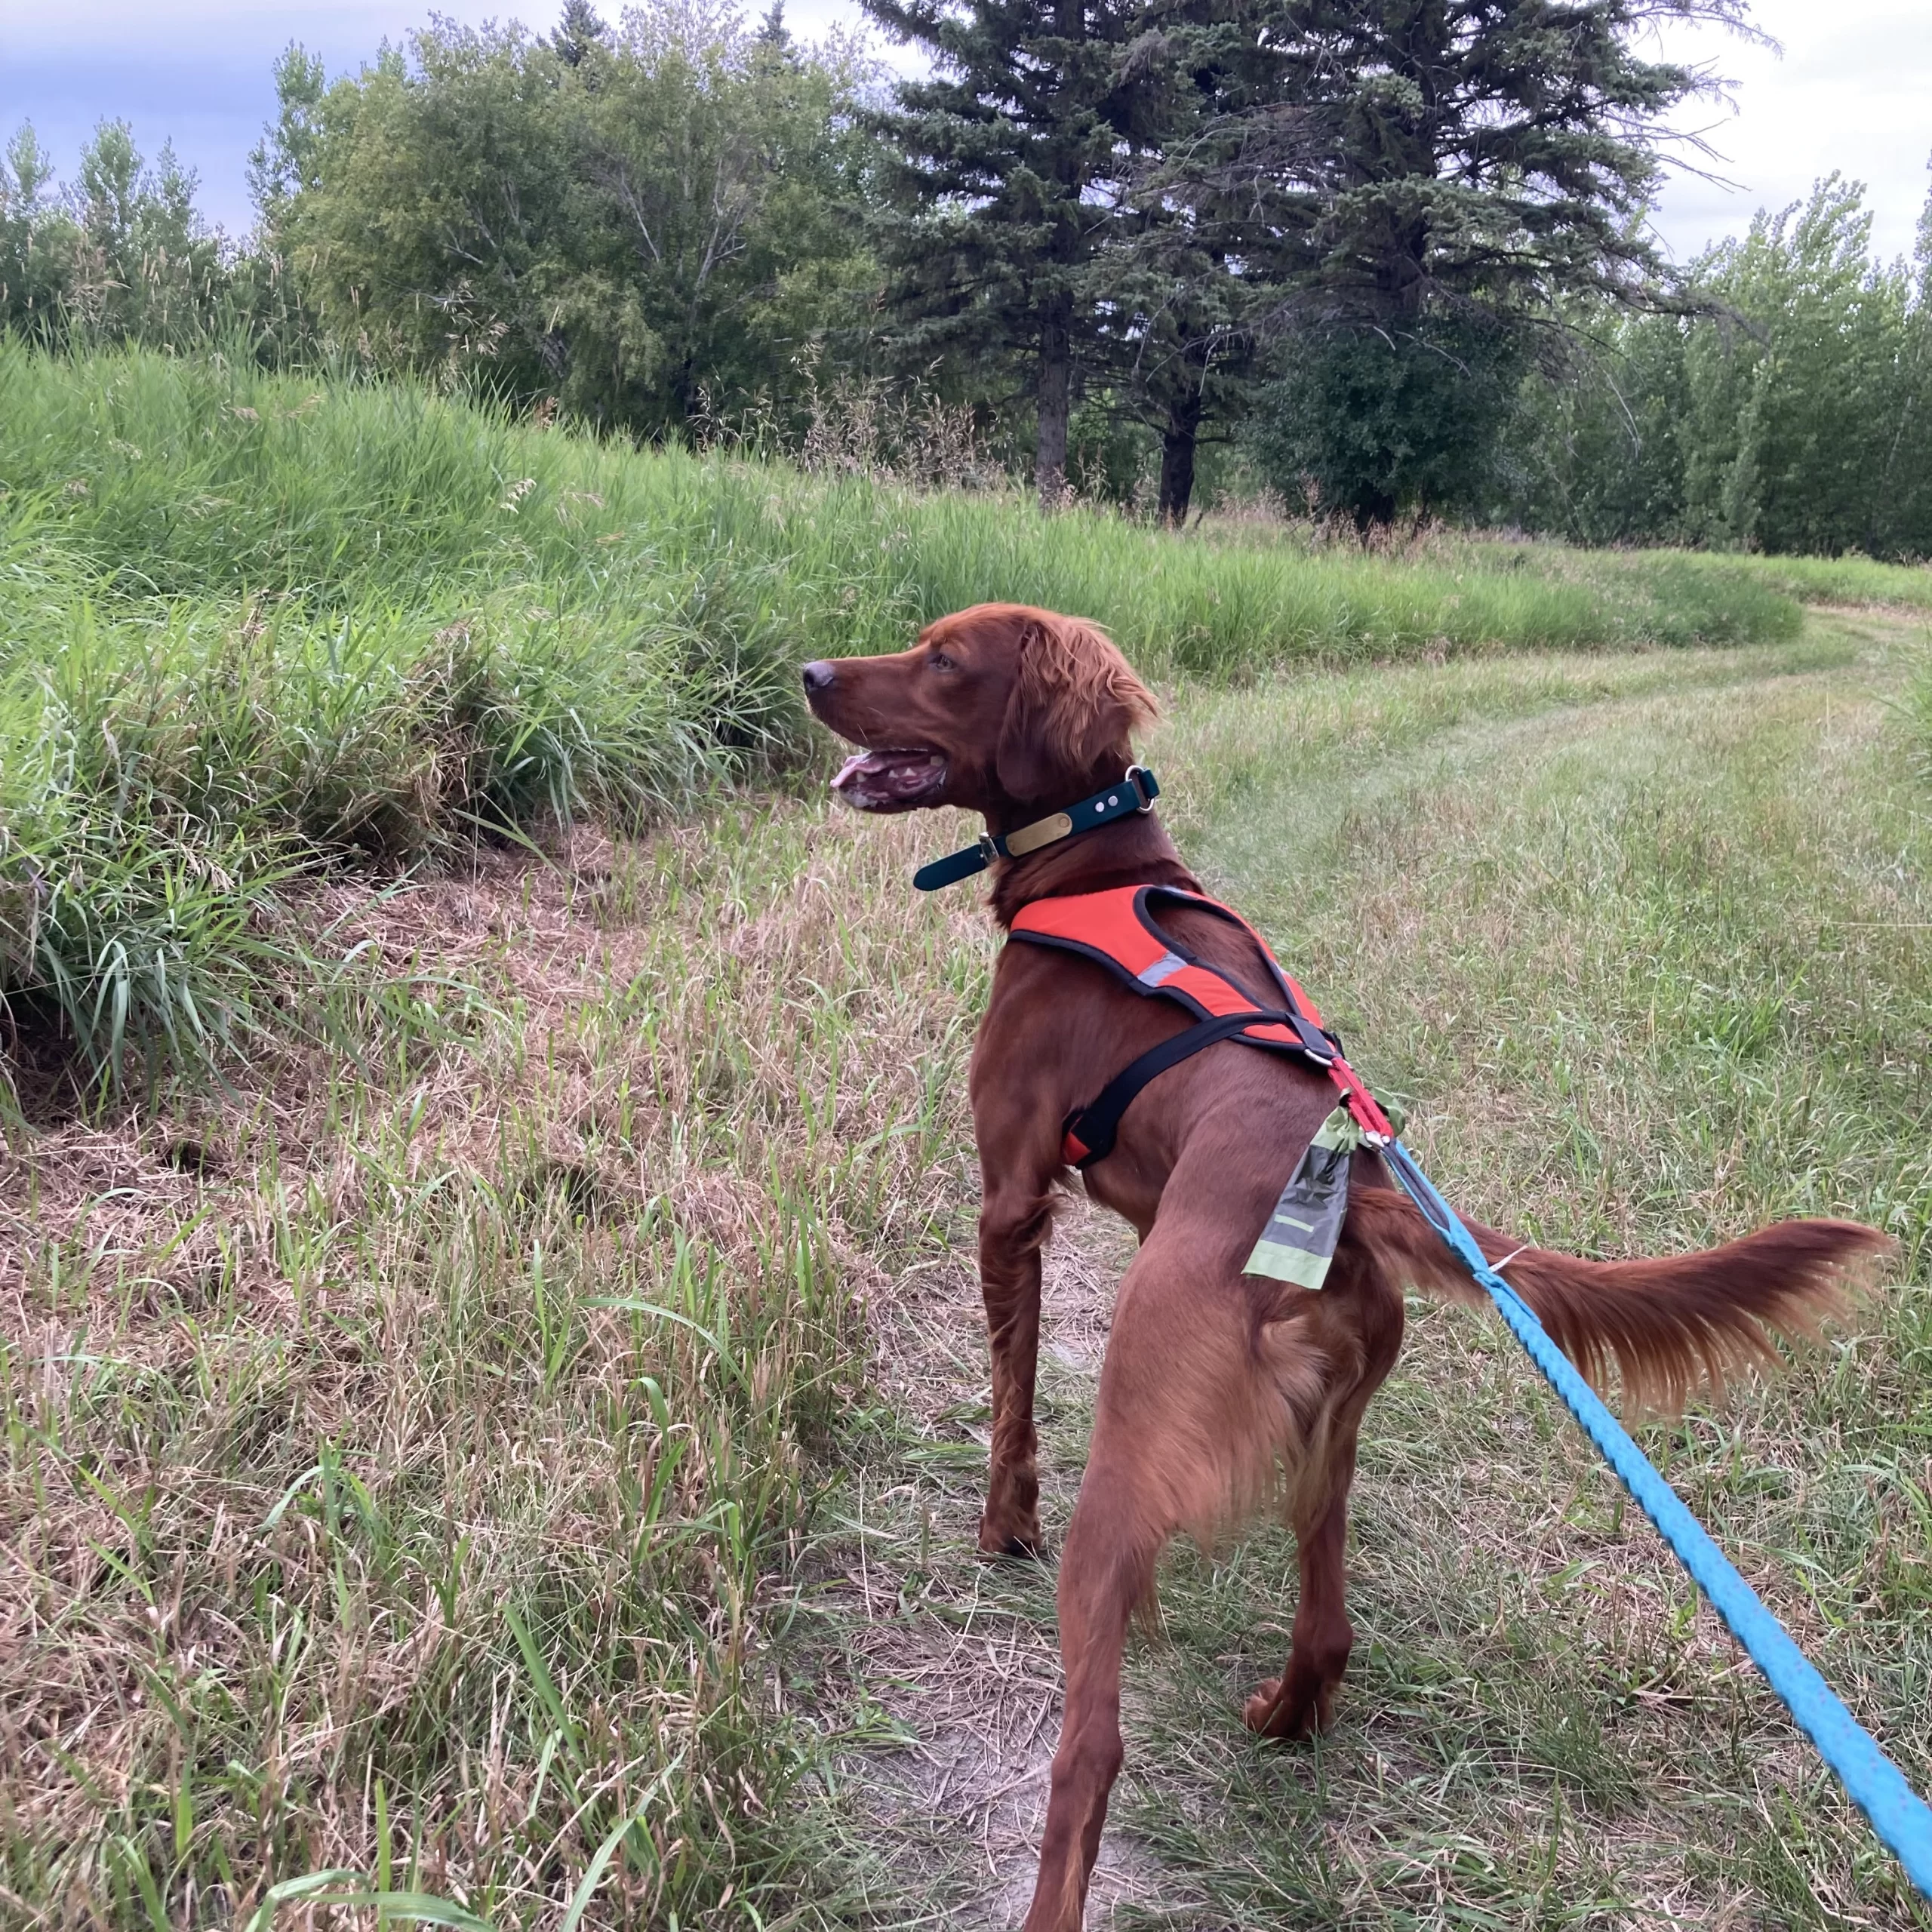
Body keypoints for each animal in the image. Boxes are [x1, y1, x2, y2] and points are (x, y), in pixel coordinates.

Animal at [799, 602, 1885, 1932]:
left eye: (946, 658)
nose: (813, 673)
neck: (1096, 867)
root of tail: (1351, 1193)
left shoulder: (1009, 1201)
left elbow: (1009, 1395)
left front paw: (1001, 1521)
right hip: (1333, 1431)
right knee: (1329, 1630)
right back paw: (1284, 1714)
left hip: (1135, 1449)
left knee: (1092, 1749)